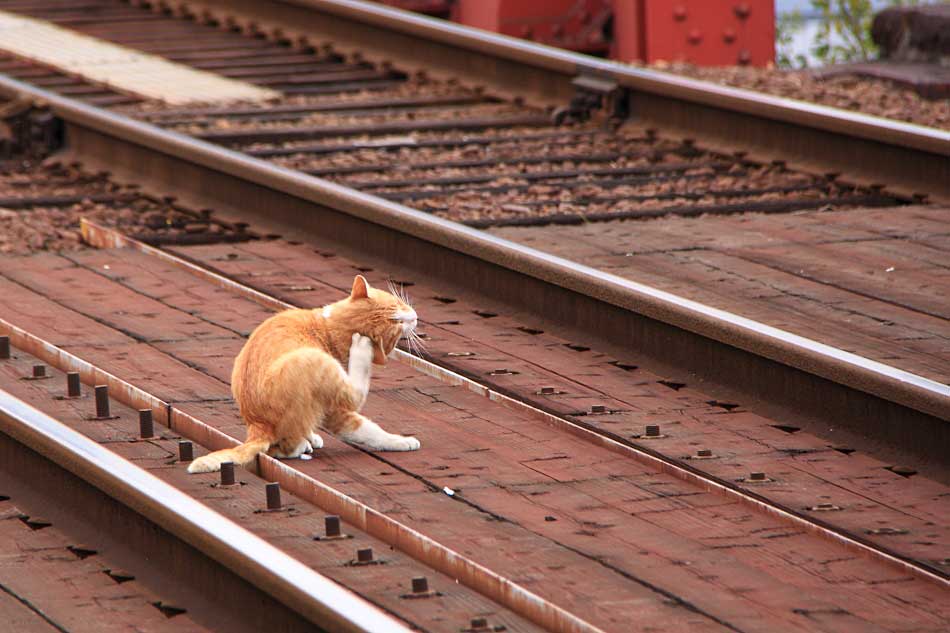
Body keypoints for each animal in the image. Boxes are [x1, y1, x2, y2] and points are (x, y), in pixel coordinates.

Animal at [188, 274, 418, 472]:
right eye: (398, 321)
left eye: (398, 305)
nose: (414, 317)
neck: (328, 329)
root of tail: (257, 425)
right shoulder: (336, 402)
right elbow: (371, 431)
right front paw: (402, 441)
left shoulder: (331, 409)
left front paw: (311, 435)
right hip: (314, 362)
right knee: (287, 447)